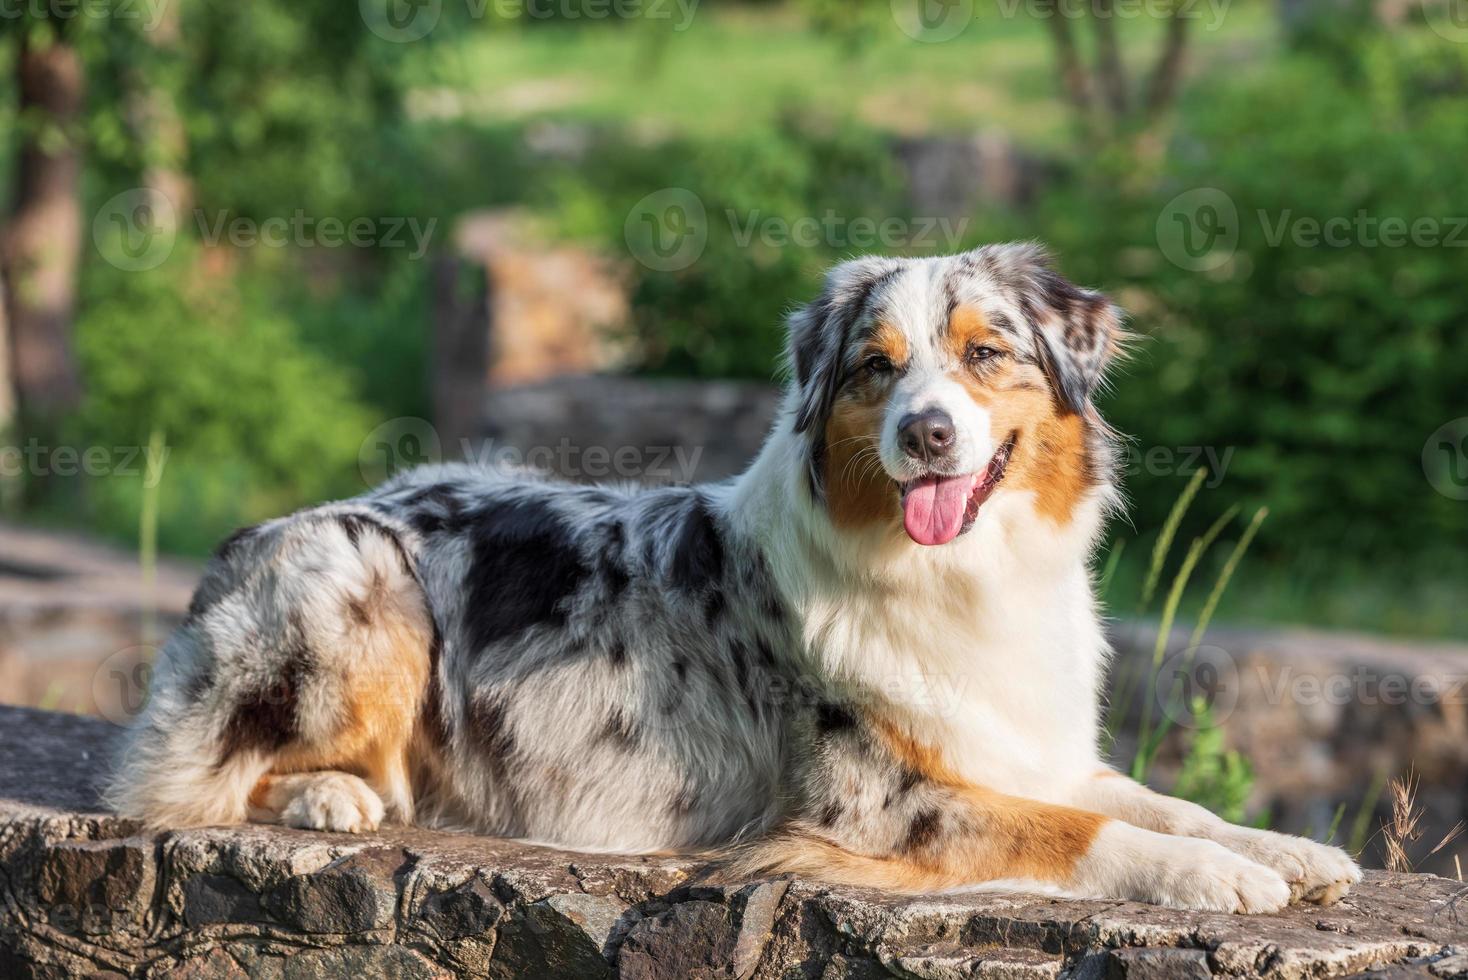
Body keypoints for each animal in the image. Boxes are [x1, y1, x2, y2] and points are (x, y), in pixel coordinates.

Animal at [108, 244, 1356, 909]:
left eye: (985, 352)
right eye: (875, 369)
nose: (927, 436)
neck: (962, 575)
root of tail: (255, 531)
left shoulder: (1025, 744)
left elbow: (1156, 797)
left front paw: (1288, 851)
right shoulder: (871, 801)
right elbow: (1078, 832)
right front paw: (1212, 878)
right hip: (361, 570)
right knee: (175, 781)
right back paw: (330, 794)